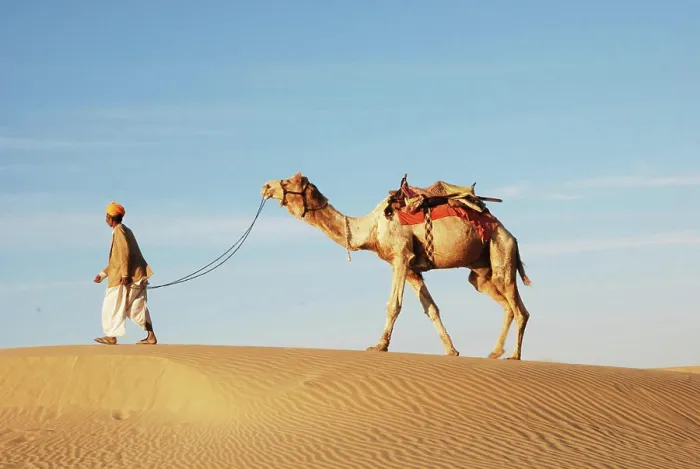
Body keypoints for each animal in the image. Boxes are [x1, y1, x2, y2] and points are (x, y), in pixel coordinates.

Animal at [260, 172, 532, 360]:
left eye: (288, 181)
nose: (266, 186)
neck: (370, 228)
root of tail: (512, 236)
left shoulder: (400, 256)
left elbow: (393, 305)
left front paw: (379, 346)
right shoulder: (412, 269)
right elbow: (431, 309)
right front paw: (451, 350)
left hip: (501, 252)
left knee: (520, 309)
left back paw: (514, 355)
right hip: (481, 272)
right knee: (505, 304)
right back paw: (495, 352)